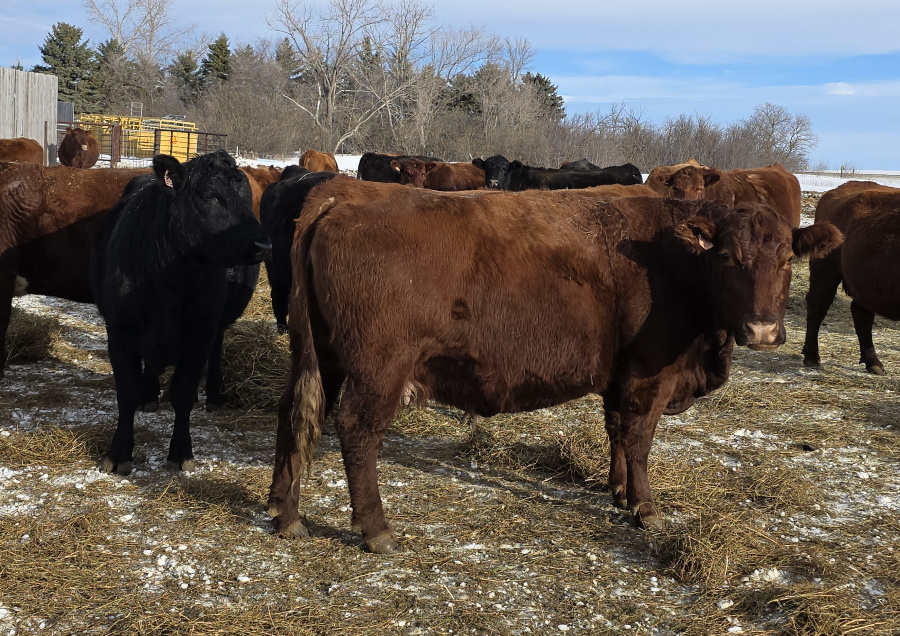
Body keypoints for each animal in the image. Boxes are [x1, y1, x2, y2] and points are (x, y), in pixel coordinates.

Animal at [89, 151, 271, 474]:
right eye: (210, 196)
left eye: (247, 198)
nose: (263, 245)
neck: (170, 284)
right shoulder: (119, 331)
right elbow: (126, 393)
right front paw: (119, 453)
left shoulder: (200, 335)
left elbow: (184, 395)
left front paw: (181, 451)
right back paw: (150, 396)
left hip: (216, 326)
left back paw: (213, 395)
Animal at [265, 176, 843, 553]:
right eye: (727, 257)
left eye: (786, 259)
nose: (763, 331)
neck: (673, 260)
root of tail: (341, 195)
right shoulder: (649, 377)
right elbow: (639, 440)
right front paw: (646, 508)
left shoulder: (619, 377)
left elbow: (616, 431)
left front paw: (617, 492)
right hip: (378, 370)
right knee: (356, 431)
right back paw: (376, 530)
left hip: (319, 357)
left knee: (295, 415)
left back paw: (285, 514)